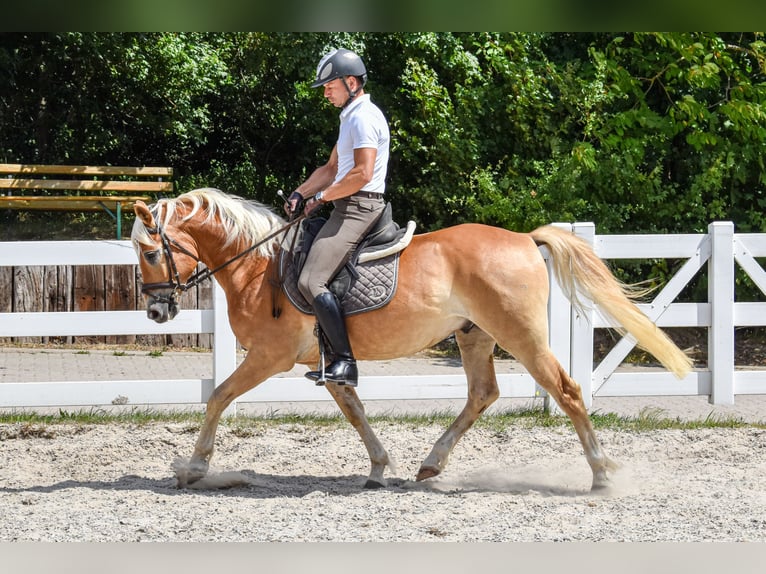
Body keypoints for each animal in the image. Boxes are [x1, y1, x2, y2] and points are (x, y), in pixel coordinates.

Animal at [131, 187, 692, 492]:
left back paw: (600, 476)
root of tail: (523, 239)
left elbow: (218, 396)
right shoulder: (329, 359)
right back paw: (431, 463)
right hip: (475, 336)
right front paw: (380, 467)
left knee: (568, 391)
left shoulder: (269, 357)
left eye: (152, 253)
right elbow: (354, 410)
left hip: (522, 337)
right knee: (482, 393)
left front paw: (194, 468)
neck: (259, 265)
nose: (158, 311)